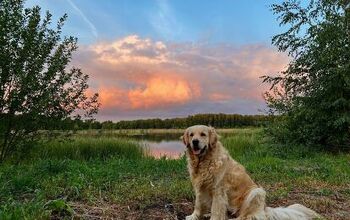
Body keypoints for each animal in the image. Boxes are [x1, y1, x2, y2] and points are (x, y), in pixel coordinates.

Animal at [182, 125, 322, 220]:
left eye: (203, 134)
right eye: (191, 135)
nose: (195, 142)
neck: (204, 162)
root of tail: (264, 209)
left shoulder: (218, 190)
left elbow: (216, 210)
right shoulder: (199, 187)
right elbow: (198, 204)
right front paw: (193, 216)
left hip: (257, 192)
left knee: (245, 216)